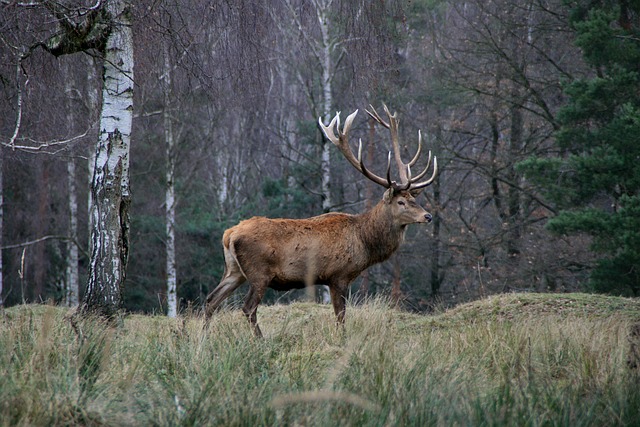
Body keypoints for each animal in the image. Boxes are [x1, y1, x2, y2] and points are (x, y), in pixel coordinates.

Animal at [204, 104, 437, 337]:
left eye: (414, 199)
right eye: (401, 202)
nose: (428, 216)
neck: (364, 241)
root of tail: (229, 235)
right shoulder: (339, 275)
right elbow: (340, 316)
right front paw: (341, 339)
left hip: (234, 270)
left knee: (211, 300)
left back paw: (203, 338)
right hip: (259, 272)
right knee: (248, 307)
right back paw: (260, 340)